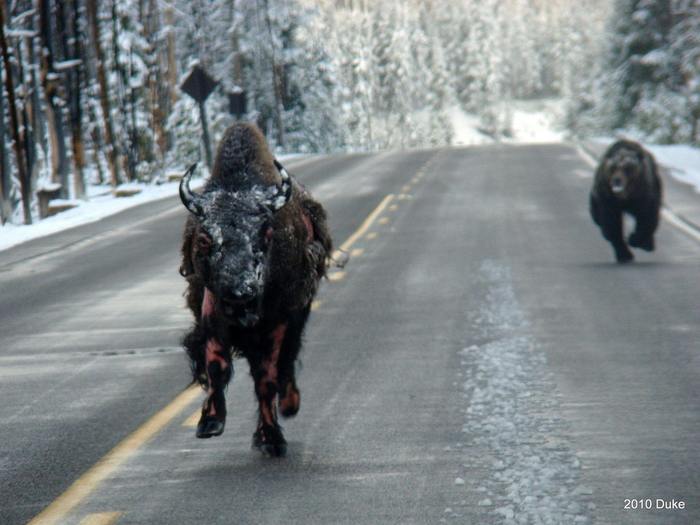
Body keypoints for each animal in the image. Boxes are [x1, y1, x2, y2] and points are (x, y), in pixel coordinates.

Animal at [180, 123, 334, 454]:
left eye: (266, 233)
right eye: (204, 239)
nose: (241, 291)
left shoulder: (279, 319)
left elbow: (267, 377)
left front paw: (271, 439)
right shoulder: (213, 308)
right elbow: (217, 363)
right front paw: (210, 422)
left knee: (285, 361)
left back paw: (289, 404)